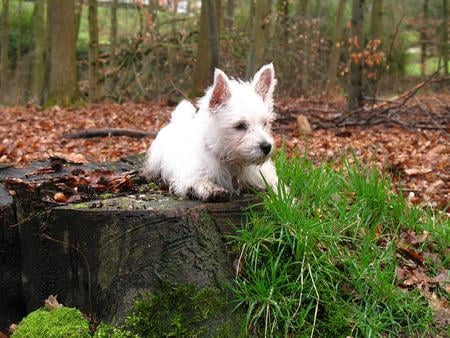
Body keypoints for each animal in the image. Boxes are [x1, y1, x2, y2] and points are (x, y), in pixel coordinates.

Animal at [142, 63, 280, 201]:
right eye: (240, 126)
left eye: (265, 123)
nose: (267, 147)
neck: (231, 162)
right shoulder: (188, 176)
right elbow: (198, 181)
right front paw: (213, 190)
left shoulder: (263, 175)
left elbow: (276, 185)